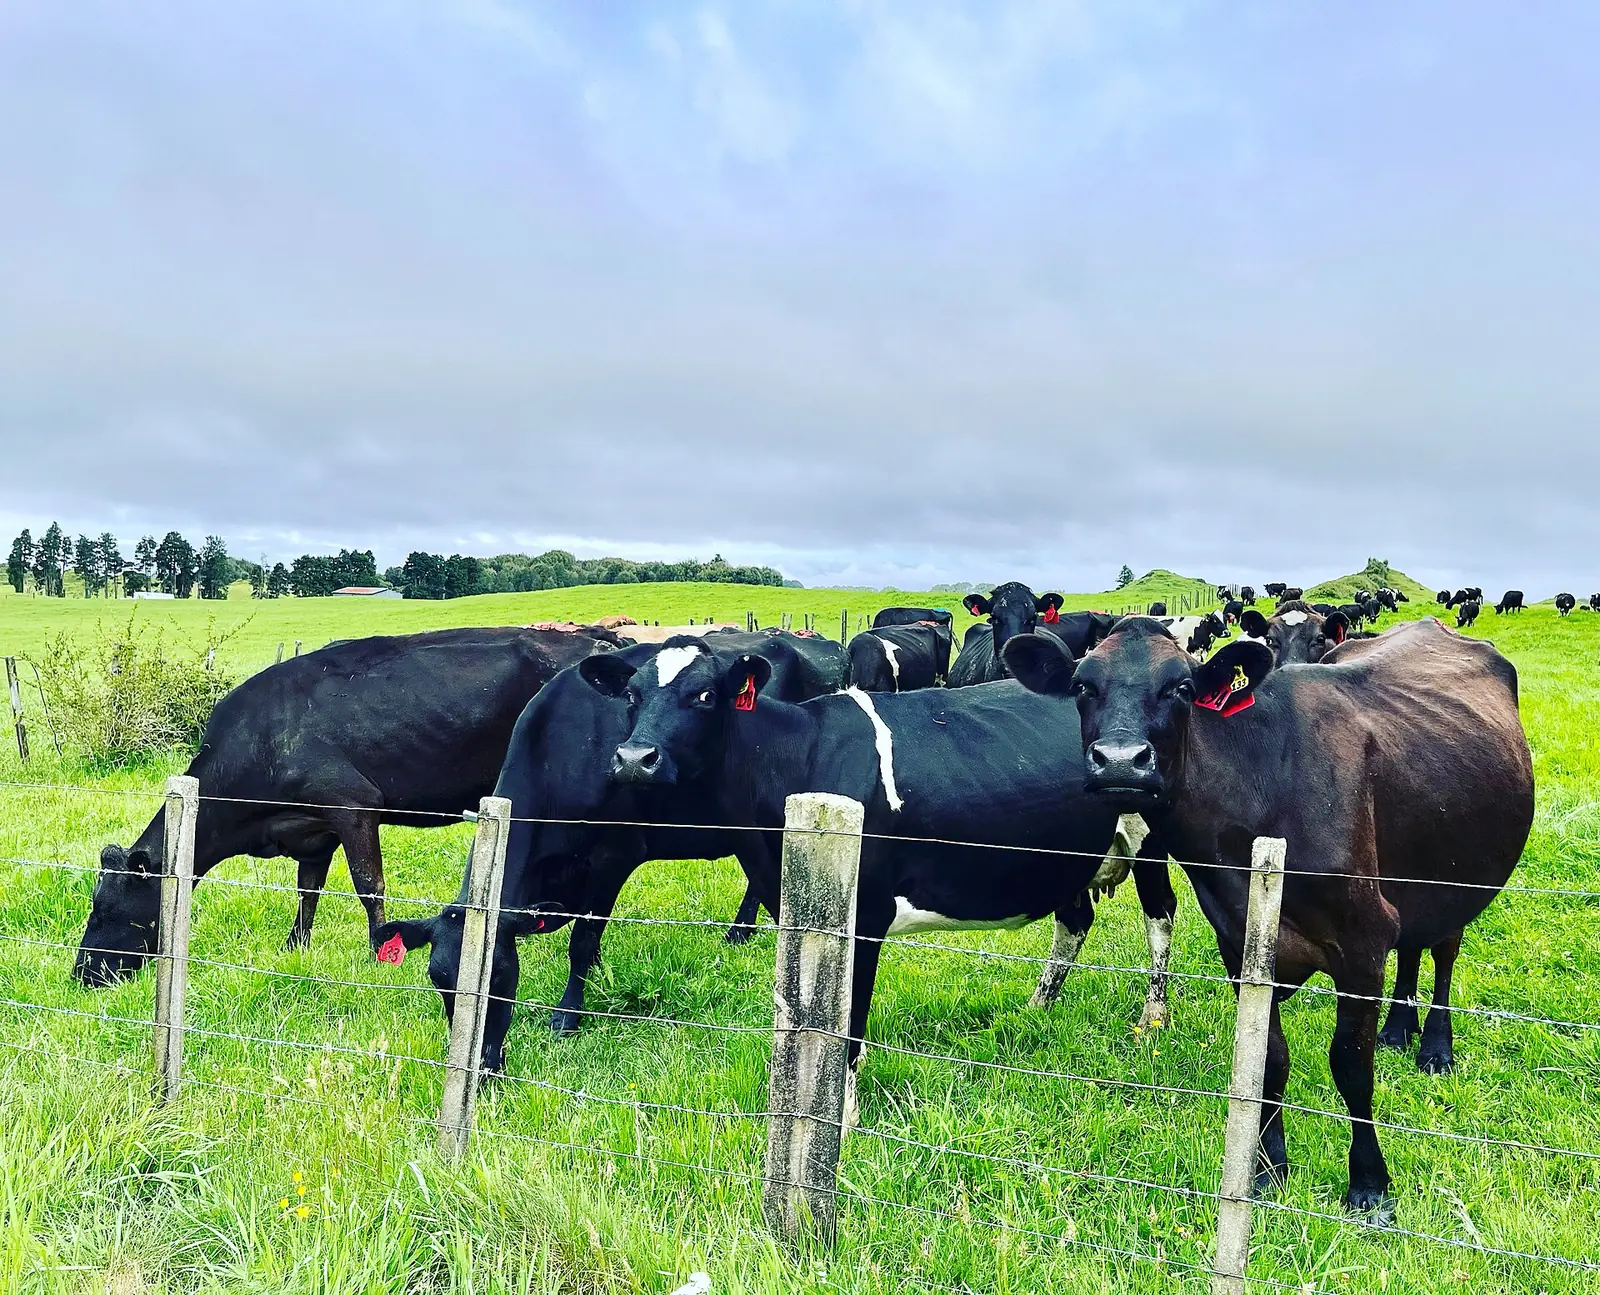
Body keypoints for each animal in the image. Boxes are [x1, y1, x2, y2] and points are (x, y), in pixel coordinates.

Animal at [73, 628, 620, 986]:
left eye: (105, 910)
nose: (81, 972)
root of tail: (599, 638)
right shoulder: (312, 833)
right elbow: (307, 891)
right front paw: (294, 948)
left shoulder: (353, 806)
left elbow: (369, 886)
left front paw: (382, 950)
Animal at [372, 632, 847, 1067]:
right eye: (440, 980)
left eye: (499, 975)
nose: (480, 1063)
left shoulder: (612, 858)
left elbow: (582, 942)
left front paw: (568, 1015)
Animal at [559, 640, 1181, 1116]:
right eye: (632, 695)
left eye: (705, 696)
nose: (635, 759)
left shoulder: (865, 916)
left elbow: (848, 1023)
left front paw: (843, 1118)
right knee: (1076, 919)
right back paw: (1037, 1009)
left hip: (1150, 840)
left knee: (1161, 916)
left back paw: (1152, 1022)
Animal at [1002, 616, 1533, 1218]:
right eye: (1083, 686)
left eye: (1181, 688)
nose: (1120, 760)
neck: (1260, 800)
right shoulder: (1241, 944)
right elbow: (1269, 1060)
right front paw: (1267, 1169)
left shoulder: (1363, 942)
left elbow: (1350, 1066)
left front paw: (1369, 1183)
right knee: (1415, 946)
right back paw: (1398, 1029)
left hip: (1457, 881)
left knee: (1442, 951)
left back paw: (1434, 1047)